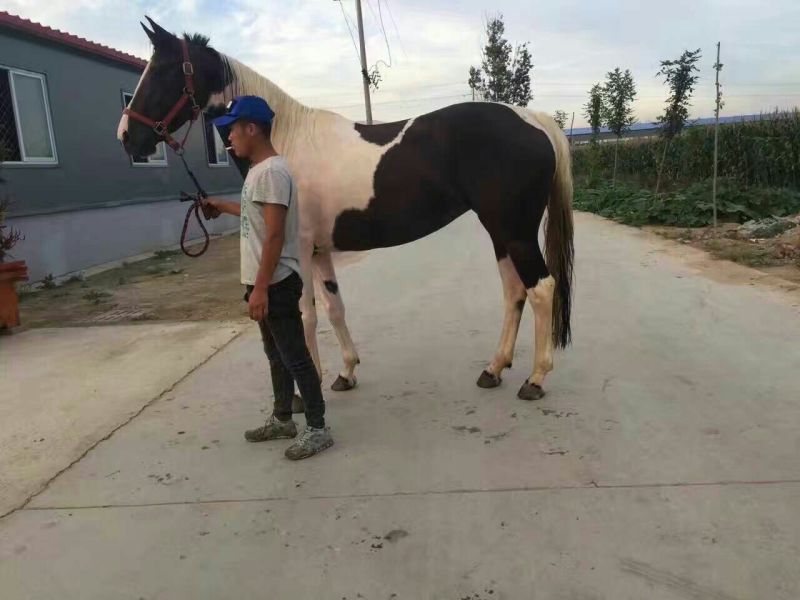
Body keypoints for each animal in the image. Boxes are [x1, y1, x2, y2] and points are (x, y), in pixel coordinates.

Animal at [117, 17, 574, 401]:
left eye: (163, 70)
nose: (127, 137)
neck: (286, 141)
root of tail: (533, 119)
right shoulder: (320, 251)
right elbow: (335, 309)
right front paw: (346, 373)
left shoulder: (298, 249)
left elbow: (305, 315)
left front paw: (307, 389)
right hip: (501, 231)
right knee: (514, 291)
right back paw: (494, 369)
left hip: (514, 230)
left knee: (541, 288)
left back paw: (535, 379)